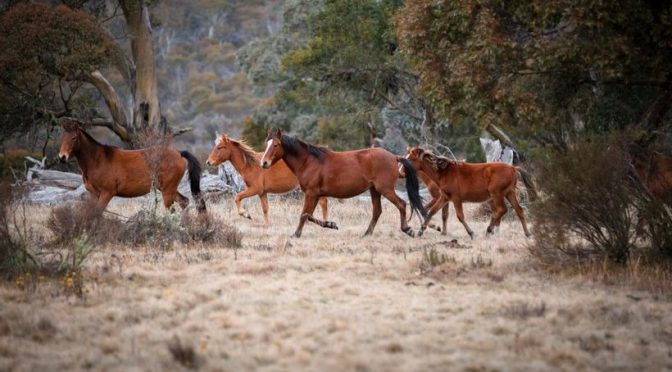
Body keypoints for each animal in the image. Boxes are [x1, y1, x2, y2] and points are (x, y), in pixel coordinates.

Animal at [57, 122, 205, 212]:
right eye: (62, 137)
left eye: (74, 138)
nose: (62, 157)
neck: (98, 159)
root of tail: (179, 153)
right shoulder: (93, 194)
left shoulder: (107, 193)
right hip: (168, 189)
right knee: (184, 202)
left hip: (167, 191)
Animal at [262, 129, 426, 237]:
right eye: (266, 144)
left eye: (276, 145)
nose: (264, 163)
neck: (309, 161)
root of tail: (394, 157)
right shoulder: (315, 195)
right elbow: (309, 215)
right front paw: (331, 224)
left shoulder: (311, 193)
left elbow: (304, 215)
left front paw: (295, 235)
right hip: (374, 190)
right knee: (377, 211)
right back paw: (367, 234)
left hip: (385, 189)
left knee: (401, 204)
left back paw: (407, 229)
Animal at [400, 146, 532, 237]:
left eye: (411, 159)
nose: (401, 172)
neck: (443, 172)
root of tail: (513, 168)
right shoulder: (444, 198)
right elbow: (432, 211)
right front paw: (421, 231)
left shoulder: (456, 199)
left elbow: (460, 216)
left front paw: (471, 233)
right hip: (509, 193)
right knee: (519, 210)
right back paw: (527, 233)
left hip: (497, 194)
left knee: (501, 210)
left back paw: (489, 230)